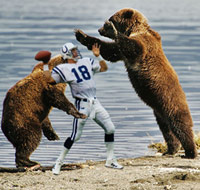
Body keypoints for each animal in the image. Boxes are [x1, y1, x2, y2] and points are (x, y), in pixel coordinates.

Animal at [75, 7, 197, 159]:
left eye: (111, 18)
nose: (99, 29)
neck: (133, 30)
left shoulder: (144, 44)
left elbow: (133, 48)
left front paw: (112, 30)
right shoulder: (120, 52)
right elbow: (109, 50)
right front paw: (81, 35)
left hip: (171, 101)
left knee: (181, 124)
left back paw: (190, 152)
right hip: (159, 112)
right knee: (167, 130)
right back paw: (170, 150)